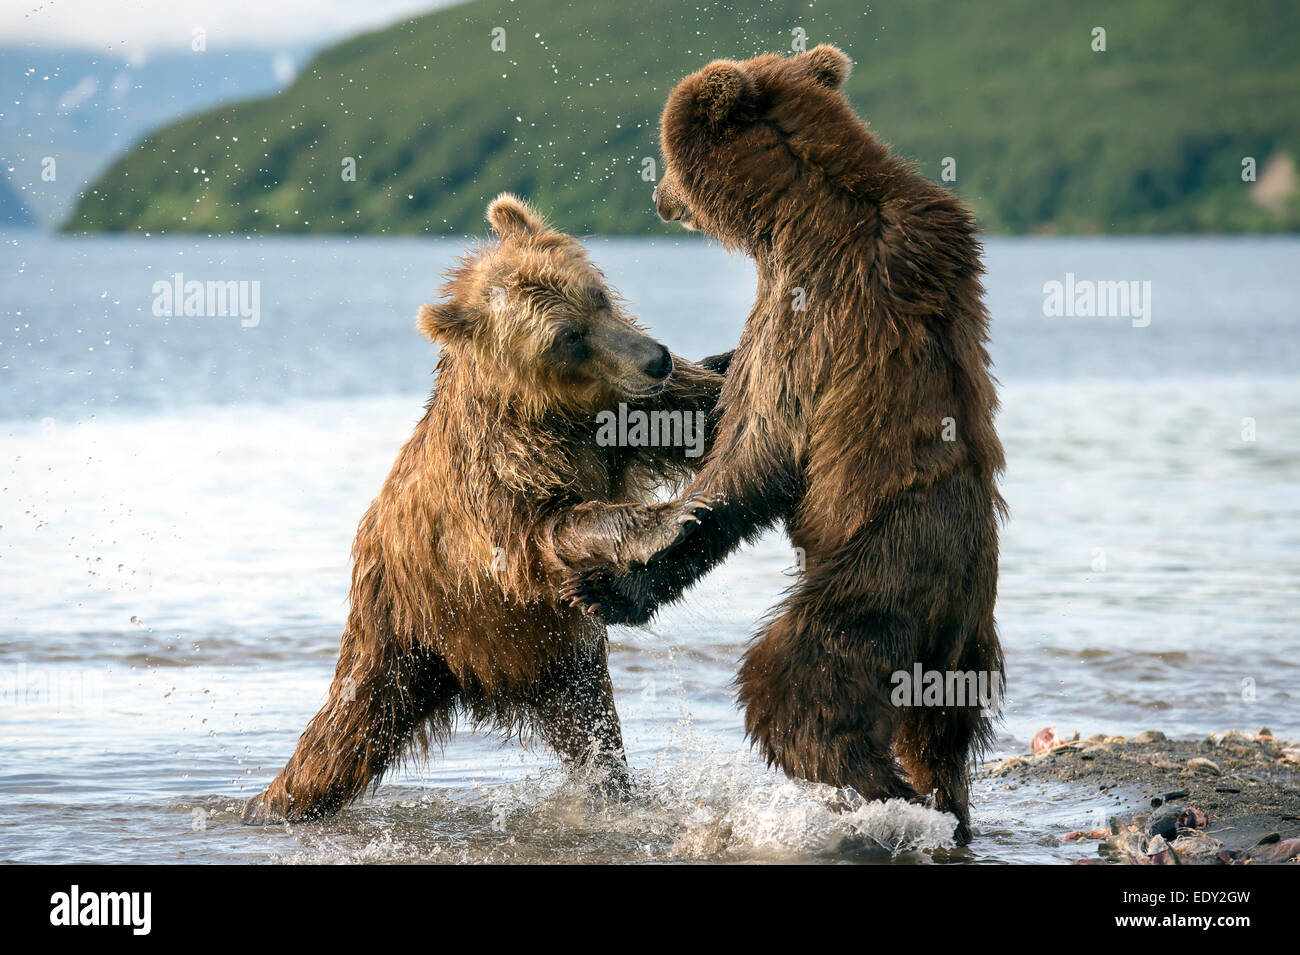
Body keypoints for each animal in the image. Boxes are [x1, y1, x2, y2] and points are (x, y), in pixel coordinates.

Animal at [240, 196, 728, 831]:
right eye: (567, 337)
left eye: (596, 296)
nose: (656, 358)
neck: (552, 410)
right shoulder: (501, 478)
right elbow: (548, 531)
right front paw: (671, 517)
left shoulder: (624, 418)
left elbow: (699, 412)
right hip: (411, 629)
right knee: (343, 737)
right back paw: (271, 802)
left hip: (553, 655)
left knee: (589, 728)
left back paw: (615, 789)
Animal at [561, 46, 1003, 841]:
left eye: (666, 156)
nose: (659, 196)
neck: (795, 209)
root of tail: (955, 612)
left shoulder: (810, 309)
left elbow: (757, 448)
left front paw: (613, 583)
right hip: (960, 655)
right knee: (941, 738)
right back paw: (945, 806)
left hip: (872, 580)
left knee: (798, 687)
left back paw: (882, 797)